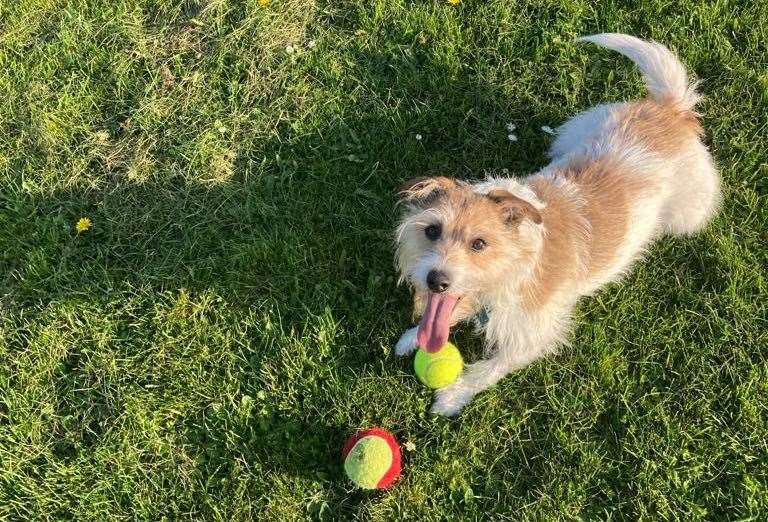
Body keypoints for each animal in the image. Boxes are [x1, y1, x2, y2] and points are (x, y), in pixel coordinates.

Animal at [396, 32, 720, 414]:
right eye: (432, 231)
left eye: (479, 244)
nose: (436, 280)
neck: (518, 260)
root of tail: (670, 109)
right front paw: (411, 338)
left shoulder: (534, 333)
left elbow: (492, 367)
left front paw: (451, 396)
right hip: (580, 127)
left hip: (690, 212)